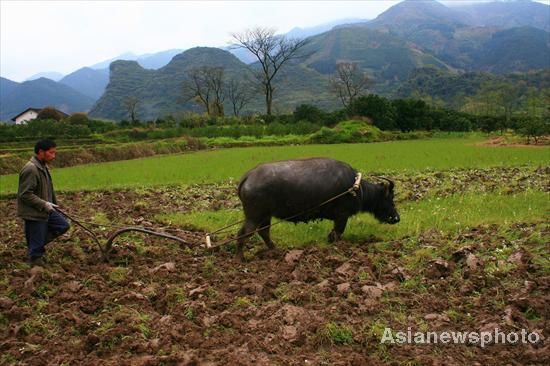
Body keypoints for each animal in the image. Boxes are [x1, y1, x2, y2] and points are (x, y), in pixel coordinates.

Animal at [236, 157, 402, 260]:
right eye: (389, 198)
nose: (396, 218)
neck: (355, 187)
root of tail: (248, 176)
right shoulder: (342, 215)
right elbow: (338, 234)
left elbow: (333, 234)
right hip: (254, 216)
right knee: (243, 234)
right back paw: (240, 258)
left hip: (266, 215)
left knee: (264, 232)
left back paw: (274, 250)